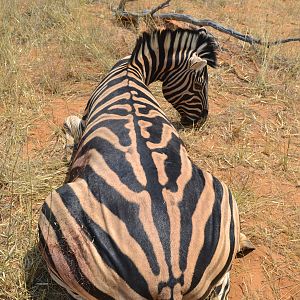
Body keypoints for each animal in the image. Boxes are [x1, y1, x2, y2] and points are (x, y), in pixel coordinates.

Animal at [38, 28, 253, 300]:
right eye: (200, 83)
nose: (202, 119)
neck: (132, 69)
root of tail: (170, 279)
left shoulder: (84, 120)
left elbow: (70, 122)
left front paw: (67, 145)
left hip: (55, 221)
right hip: (223, 195)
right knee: (224, 281)